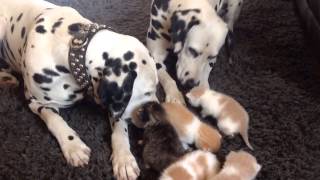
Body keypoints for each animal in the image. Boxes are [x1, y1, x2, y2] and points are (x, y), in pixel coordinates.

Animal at [0, 0, 159, 180]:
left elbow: (120, 126)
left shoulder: (111, 103)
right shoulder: (37, 103)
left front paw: (124, 158)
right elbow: (55, 120)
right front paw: (73, 146)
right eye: (147, 93)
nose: (157, 116)